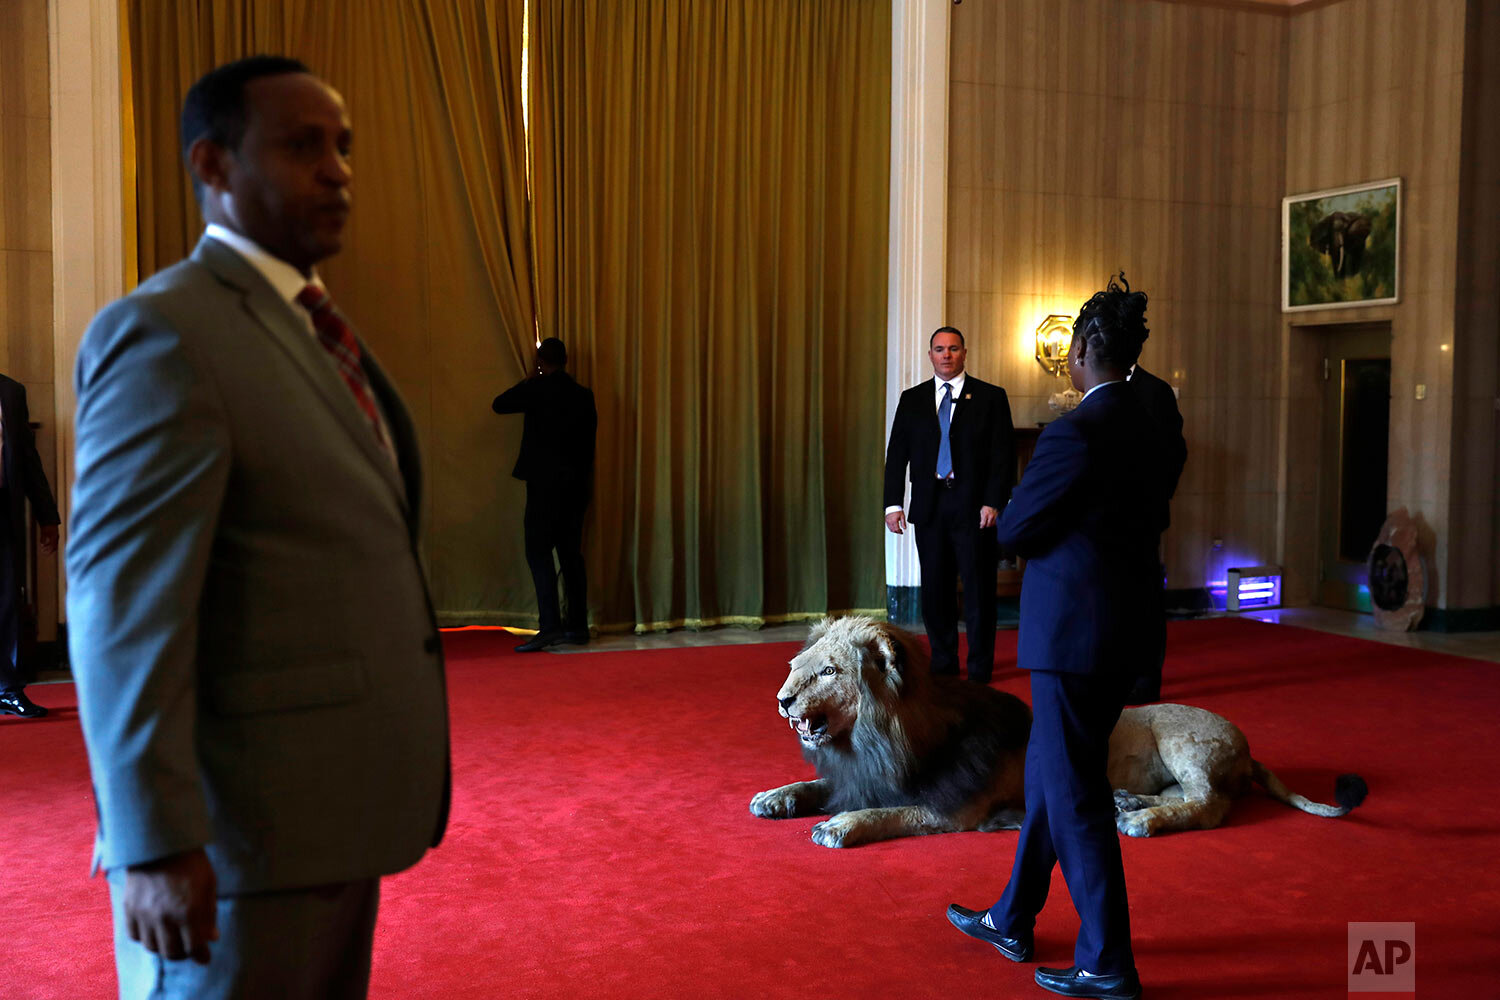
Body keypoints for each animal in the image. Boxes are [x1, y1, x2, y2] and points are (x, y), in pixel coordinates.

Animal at [750, 617, 1374, 845]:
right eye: (797, 666)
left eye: (829, 672)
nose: (781, 701)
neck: (876, 742)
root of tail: (1248, 748)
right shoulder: (857, 775)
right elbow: (817, 787)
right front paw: (775, 796)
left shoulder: (954, 812)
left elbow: (888, 813)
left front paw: (839, 826)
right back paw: (1127, 801)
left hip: (1182, 739)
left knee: (1207, 805)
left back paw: (1141, 820)